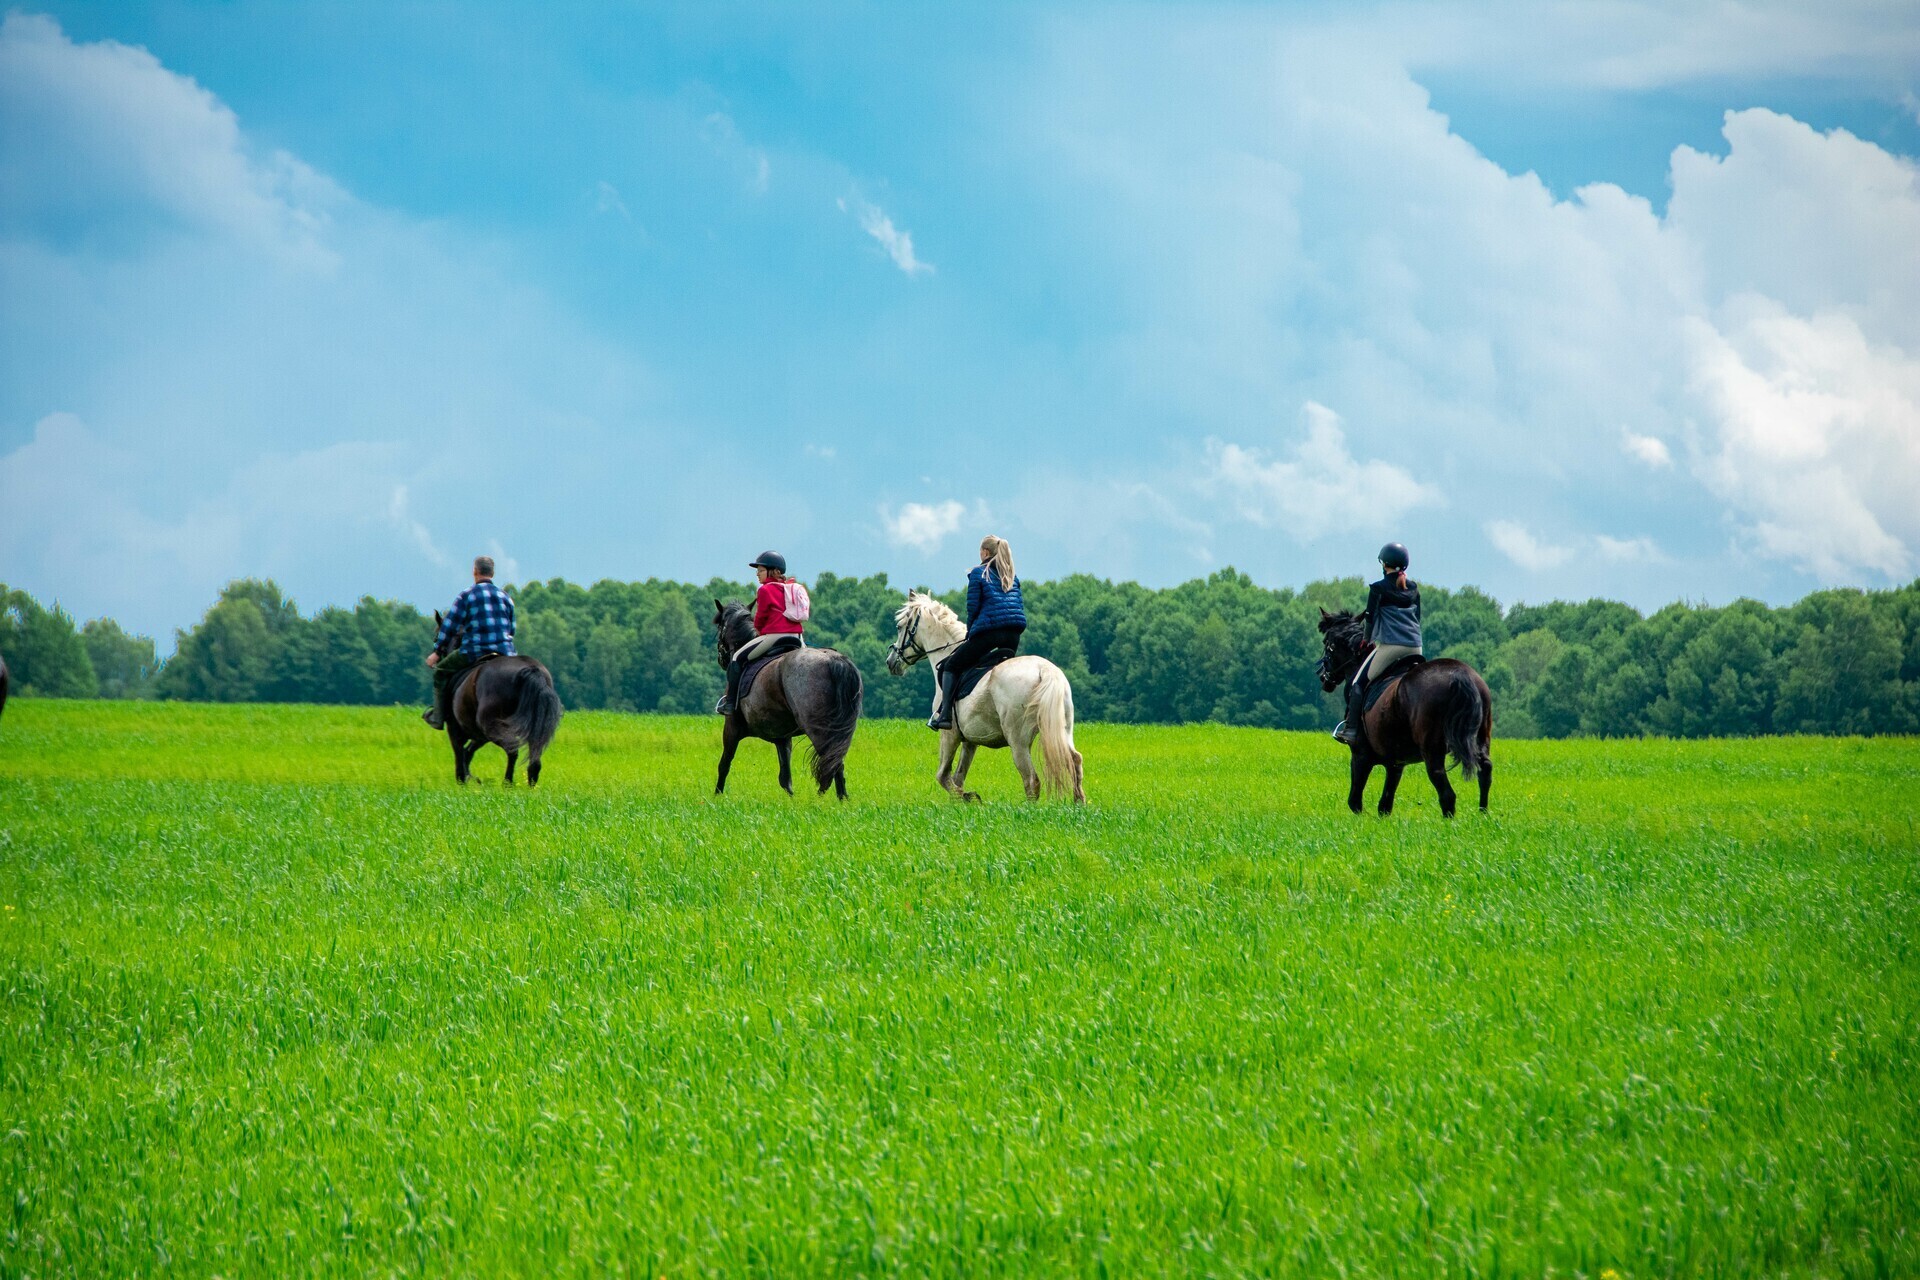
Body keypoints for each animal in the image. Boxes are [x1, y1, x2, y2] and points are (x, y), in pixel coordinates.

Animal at [430, 614, 560, 786]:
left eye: (436, 636)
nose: (434, 658)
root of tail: (530, 670)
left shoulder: (455, 728)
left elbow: (459, 754)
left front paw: (462, 781)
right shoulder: (479, 735)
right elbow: (468, 752)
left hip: (491, 725)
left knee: (512, 750)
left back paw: (507, 783)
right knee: (534, 756)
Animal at [714, 602, 864, 802]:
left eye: (720, 626)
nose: (721, 659)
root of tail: (835, 659)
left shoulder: (731, 728)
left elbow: (724, 764)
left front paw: (716, 796)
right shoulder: (782, 737)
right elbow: (785, 778)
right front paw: (791, 802)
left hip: (818, 728)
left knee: (832, 761)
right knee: (835, 761)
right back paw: (841, 800)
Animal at [879, 591, 1082, 802]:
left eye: (900, 626)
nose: (891, 662)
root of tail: (1044, 670)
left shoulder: (949, 734)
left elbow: (943, 776)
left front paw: (968, 797)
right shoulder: (969, 741)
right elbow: (957, 777)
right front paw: (963, 800)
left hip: (1018, 741)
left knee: (1031, 780)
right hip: (1062, 730)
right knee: (1074, 761)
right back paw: (1078, 805)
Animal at [1320, 606, 1497, 817]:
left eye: (1326, 643)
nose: (1323, 677)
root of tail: (1460, 675)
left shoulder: (1360, 755)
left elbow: (1355, 802)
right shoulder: (1396, 763)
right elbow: (1385, 805)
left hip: (1432, 750)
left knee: (1446, 792)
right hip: (1480, 736)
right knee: (1484, 771)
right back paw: (1483, 815)